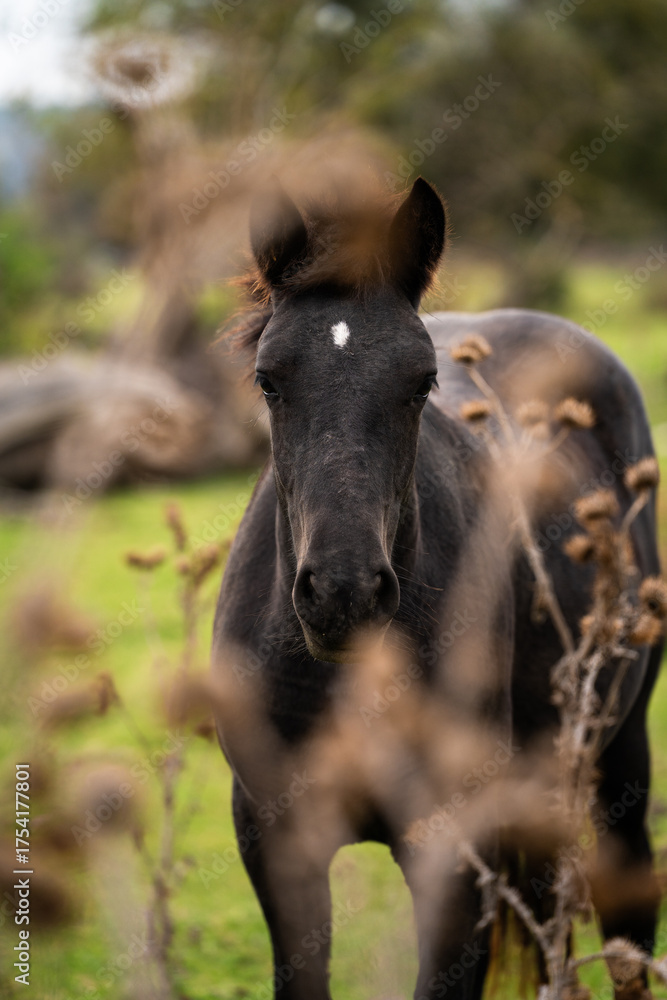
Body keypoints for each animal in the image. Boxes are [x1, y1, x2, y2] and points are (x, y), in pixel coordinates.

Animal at [211, 177, 662, 999]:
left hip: (619, 759)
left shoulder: (452, 856)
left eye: (421, 383)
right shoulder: (274, 839)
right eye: (268, 380)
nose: (344, 595)